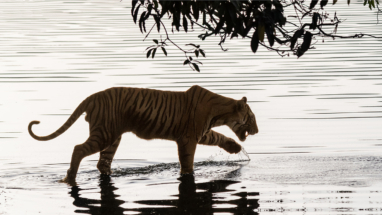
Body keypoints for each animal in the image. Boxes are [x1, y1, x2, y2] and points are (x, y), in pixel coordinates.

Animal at [28, 85, 258, 184]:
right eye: (251, 118)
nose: (256, 131)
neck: (220, 112)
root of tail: (92, 96)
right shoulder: (189, 138)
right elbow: (187, 162)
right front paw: (187, 174)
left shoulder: (201, 133)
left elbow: (219, 137)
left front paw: (235, 148)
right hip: (104, 134)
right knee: (78, 149)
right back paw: (69, 177)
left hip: (112, 138)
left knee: (102, 163)